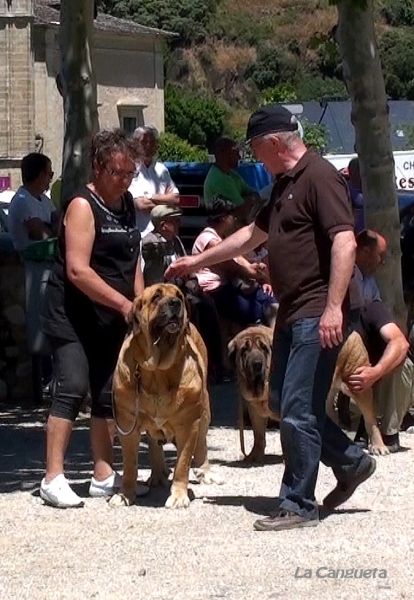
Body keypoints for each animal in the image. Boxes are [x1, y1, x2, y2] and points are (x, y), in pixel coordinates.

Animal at [108, 284, 222, 508]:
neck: (157, 371)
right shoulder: (127, 424)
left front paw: (178, 496)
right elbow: (130, 465)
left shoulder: (189, 424)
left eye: (178, 296)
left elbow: (183, 464)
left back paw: (205, 472)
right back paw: (157, 474)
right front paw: (125, 494)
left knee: (202, 443)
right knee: (154, 442)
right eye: (156, 297)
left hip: (205, 412)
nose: (176, 303)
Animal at [226, 328, 278, 460]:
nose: (257, 364)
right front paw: (255, 455)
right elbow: (258, 435)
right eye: (245, 349)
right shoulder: (254, 411)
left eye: (264, 348)